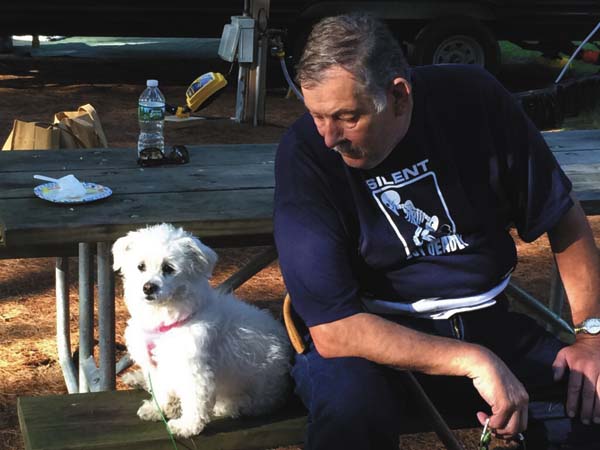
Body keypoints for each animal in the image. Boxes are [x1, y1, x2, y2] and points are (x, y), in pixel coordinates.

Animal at [112, 223, 291, 438]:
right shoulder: (158, 367)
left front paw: (186, 426)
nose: (148, 287)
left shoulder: (195, 371)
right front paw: (158, 408)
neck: (167, 321)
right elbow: (161, 389)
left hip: (258, 392)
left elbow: (194, 401)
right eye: (141, 266)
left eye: (168, 268)